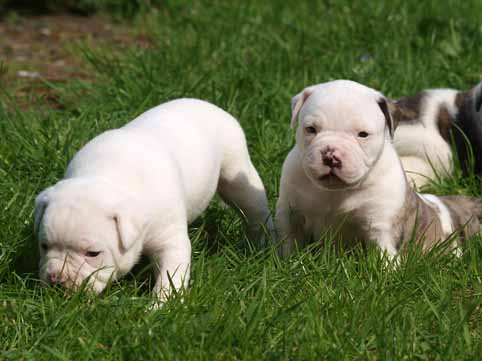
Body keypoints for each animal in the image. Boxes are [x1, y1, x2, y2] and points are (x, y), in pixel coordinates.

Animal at [35, 97, 274, 300]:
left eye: (93, 253)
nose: (57, 281)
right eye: (44, 246)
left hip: (236, 170)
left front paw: (162, 307)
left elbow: (172, 275)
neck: (106, 175)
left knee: (255, 209)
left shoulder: (170, 239)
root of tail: (207, 104)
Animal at [274, 80, 482, 258]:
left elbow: (384, 258)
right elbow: (288, 243)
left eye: (363, 134)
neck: (335, 192)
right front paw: (288, 264)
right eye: (310, 129)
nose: (330, 155)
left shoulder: (381, 226)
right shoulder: (290, 214)